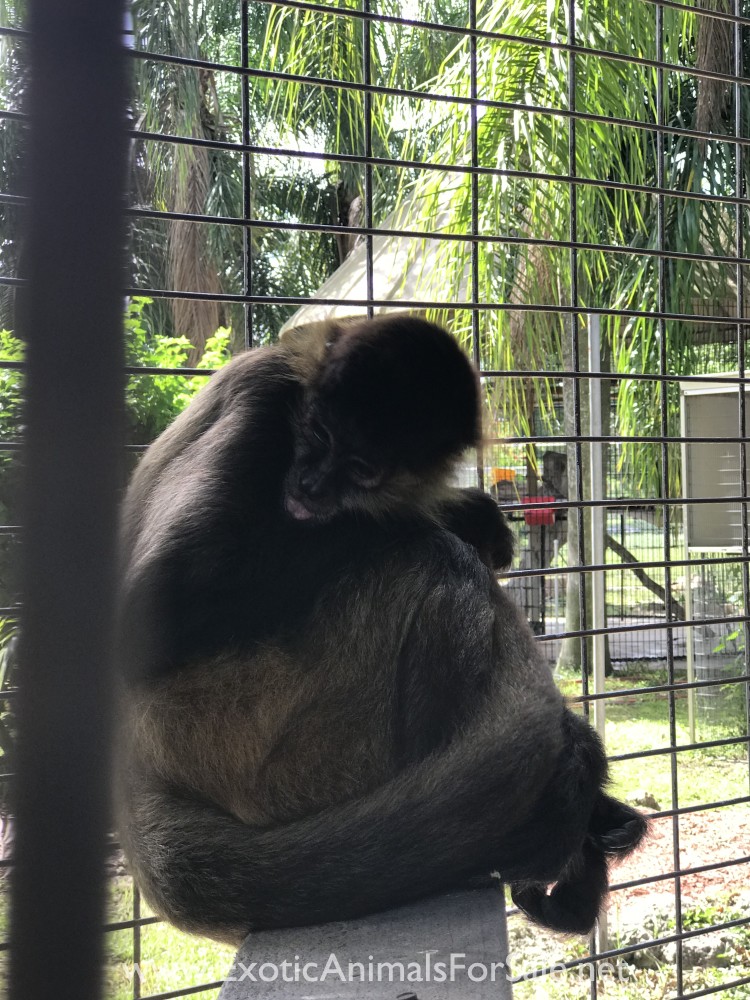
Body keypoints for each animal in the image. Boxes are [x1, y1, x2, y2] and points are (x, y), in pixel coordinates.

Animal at [116, 314, 647, 944]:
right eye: (318, 436)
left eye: (363, 468)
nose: (311, 487)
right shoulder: (262, 406)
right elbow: (152, 611)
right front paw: (449, 513)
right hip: (237, 725)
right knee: (432, 560)